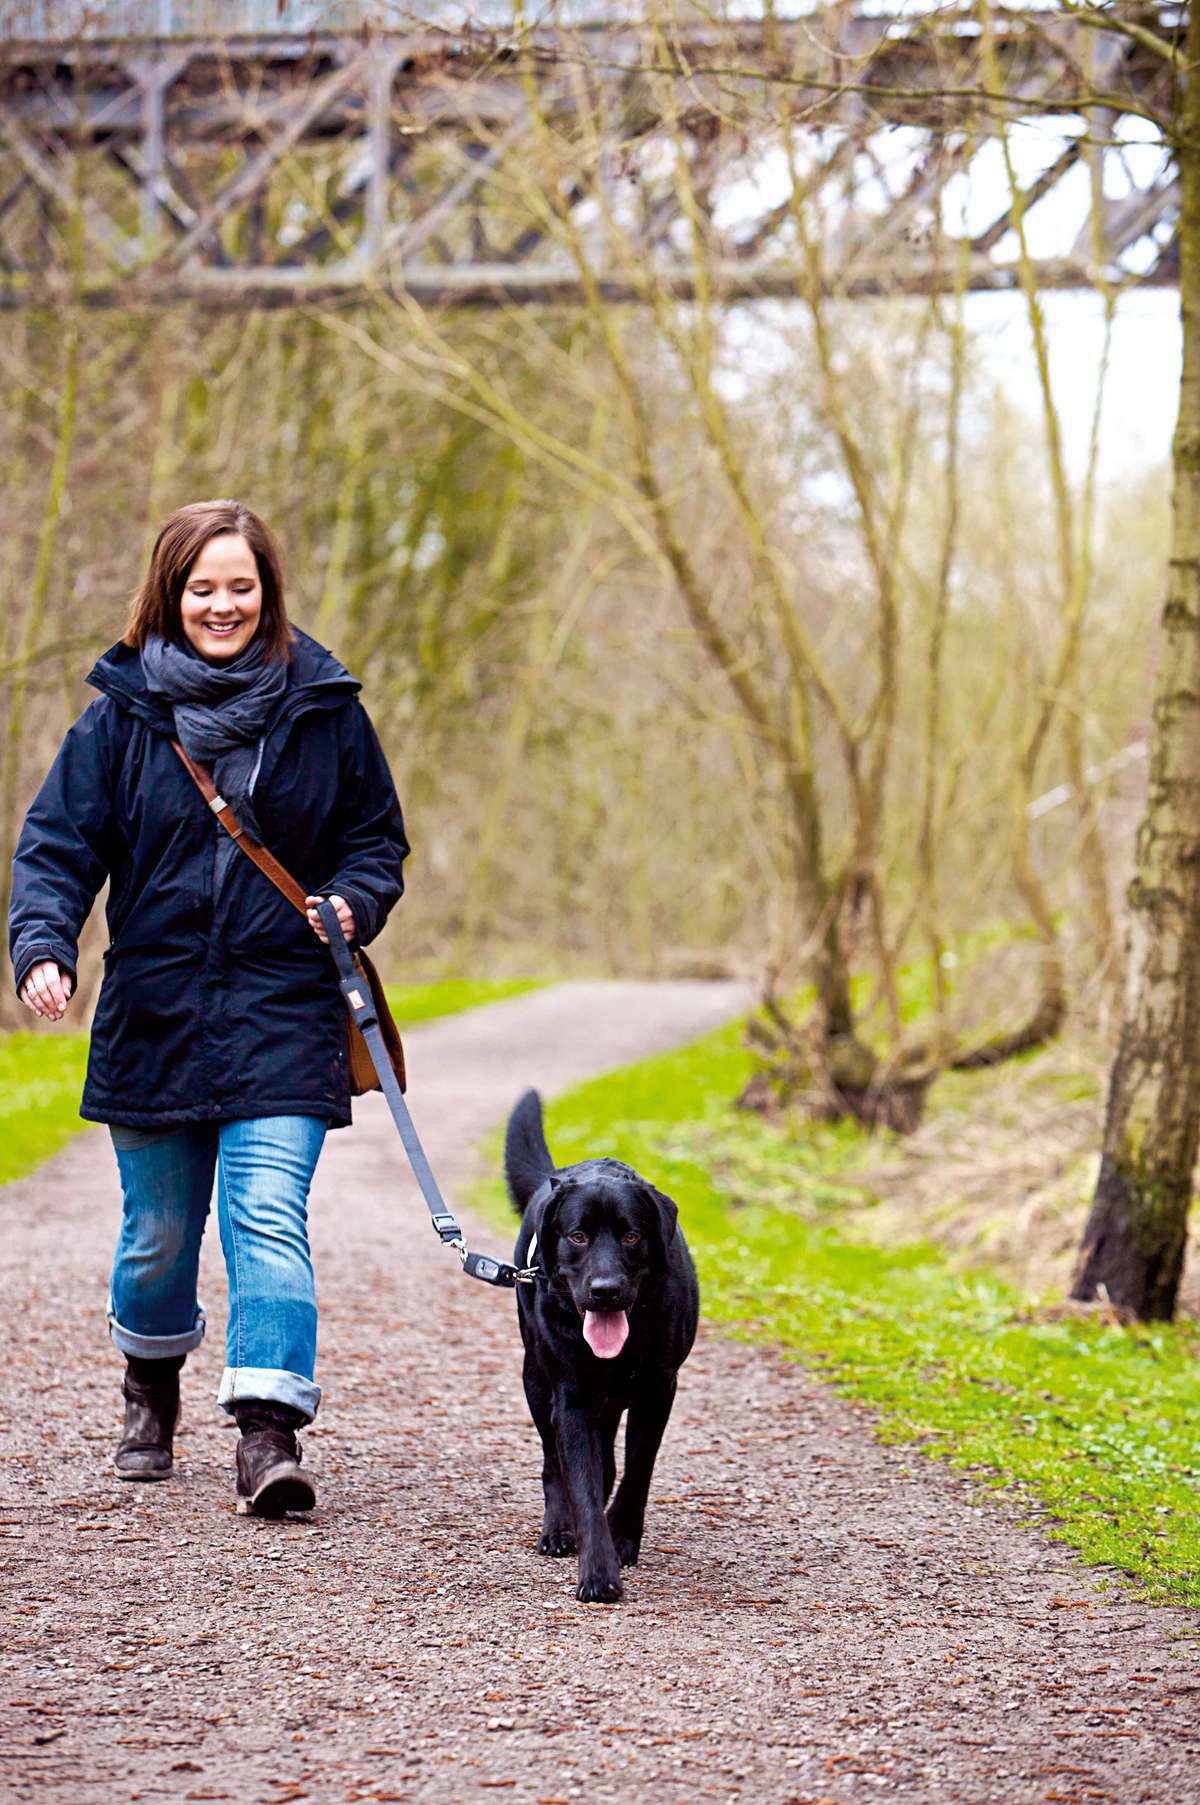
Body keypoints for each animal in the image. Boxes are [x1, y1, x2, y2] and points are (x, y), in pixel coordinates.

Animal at [501, 1083, 696, 1610]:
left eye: (631, 1235)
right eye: (577, 1236)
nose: (605, 1290)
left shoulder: (658, 1391)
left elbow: (638, 1470)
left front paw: (623, 1536)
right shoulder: (571, 1397)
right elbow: (582, 1486)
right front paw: (597, 1571)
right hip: (535, 1379)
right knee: (554, 1462)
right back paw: (557, 1528)